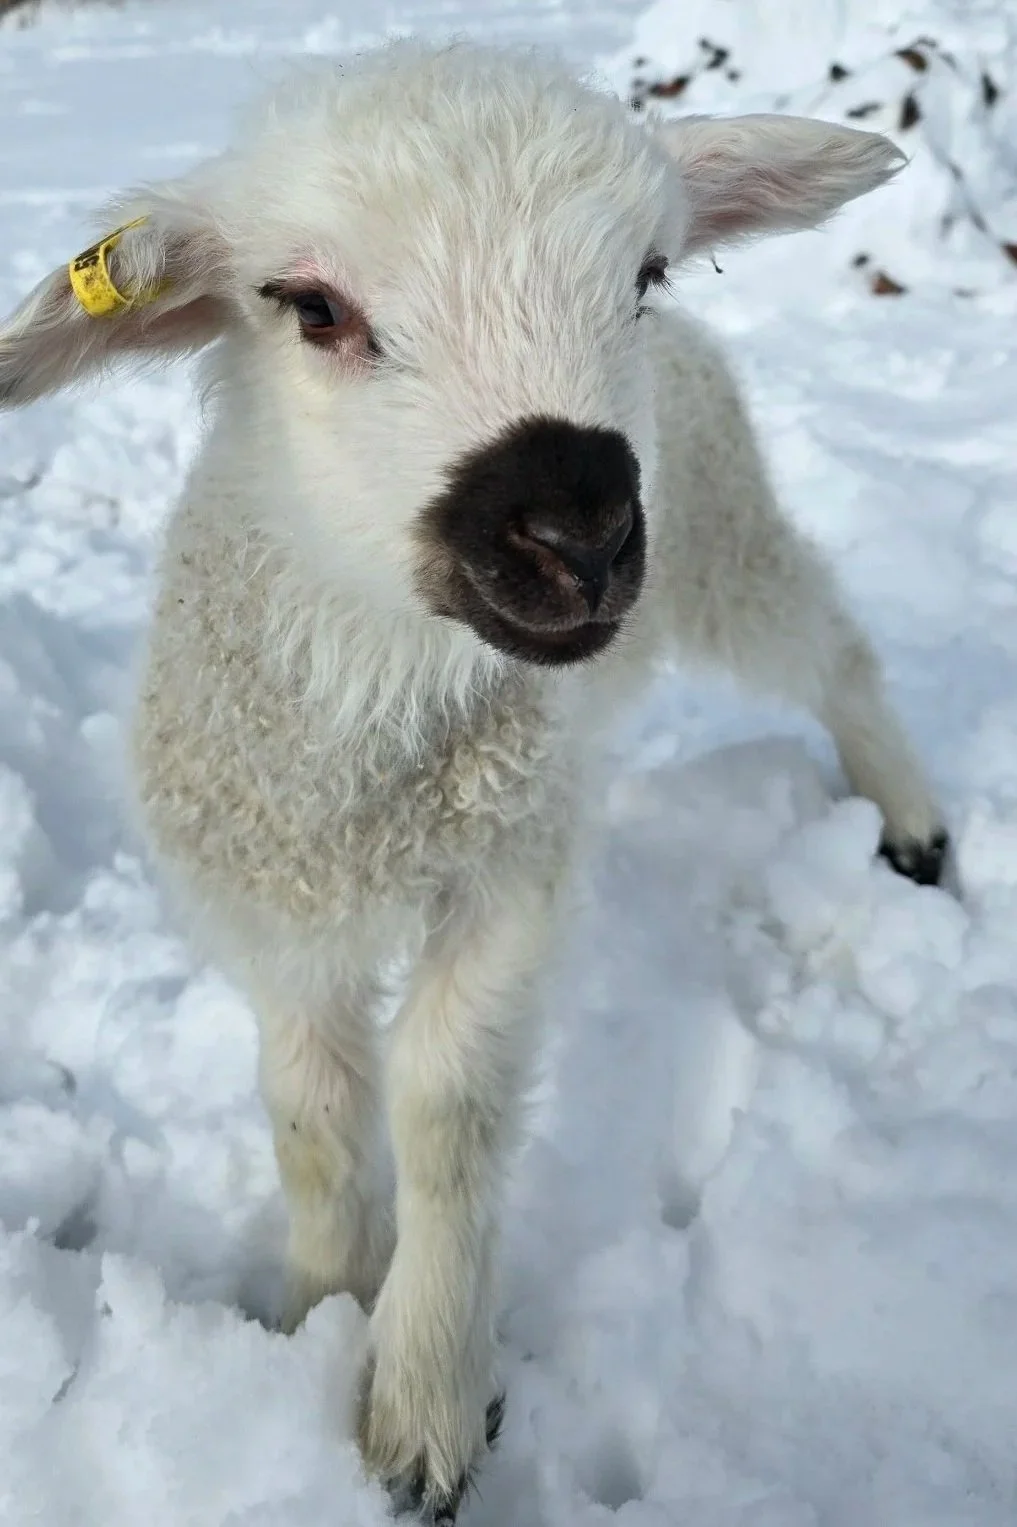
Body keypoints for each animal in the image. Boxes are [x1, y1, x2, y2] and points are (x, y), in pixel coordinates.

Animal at [0, 39, 948, 1522]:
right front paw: (322, 1310)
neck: (378, 721)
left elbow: (447, 1116)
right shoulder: (276, 898)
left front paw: (423, 1401)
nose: (578, 533)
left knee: (834, 645)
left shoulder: (508, 874)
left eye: (643, 272)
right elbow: (314, 1124)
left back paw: (911, 825)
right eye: (310, 305)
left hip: (724, 546)